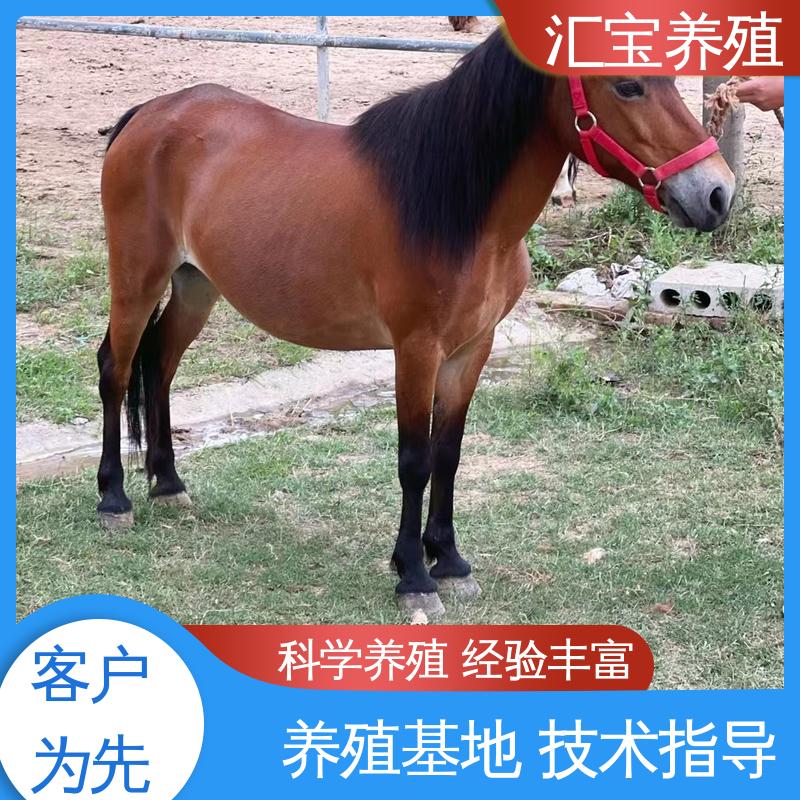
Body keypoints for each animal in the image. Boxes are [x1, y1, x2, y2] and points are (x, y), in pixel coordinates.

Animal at [97, 27, 734, 616]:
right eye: (627, 85)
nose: (717, 193)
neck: (461, 209)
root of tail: (148, 114)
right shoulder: (416, 350)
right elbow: (415, 460)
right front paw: (413, 577)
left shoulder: (472, 348)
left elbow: (448, 454)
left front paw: (448, 560)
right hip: (136, 283)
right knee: (117, 370)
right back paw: (114, 499)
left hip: (195, 286)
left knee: (160, 366)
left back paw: (168, 484)